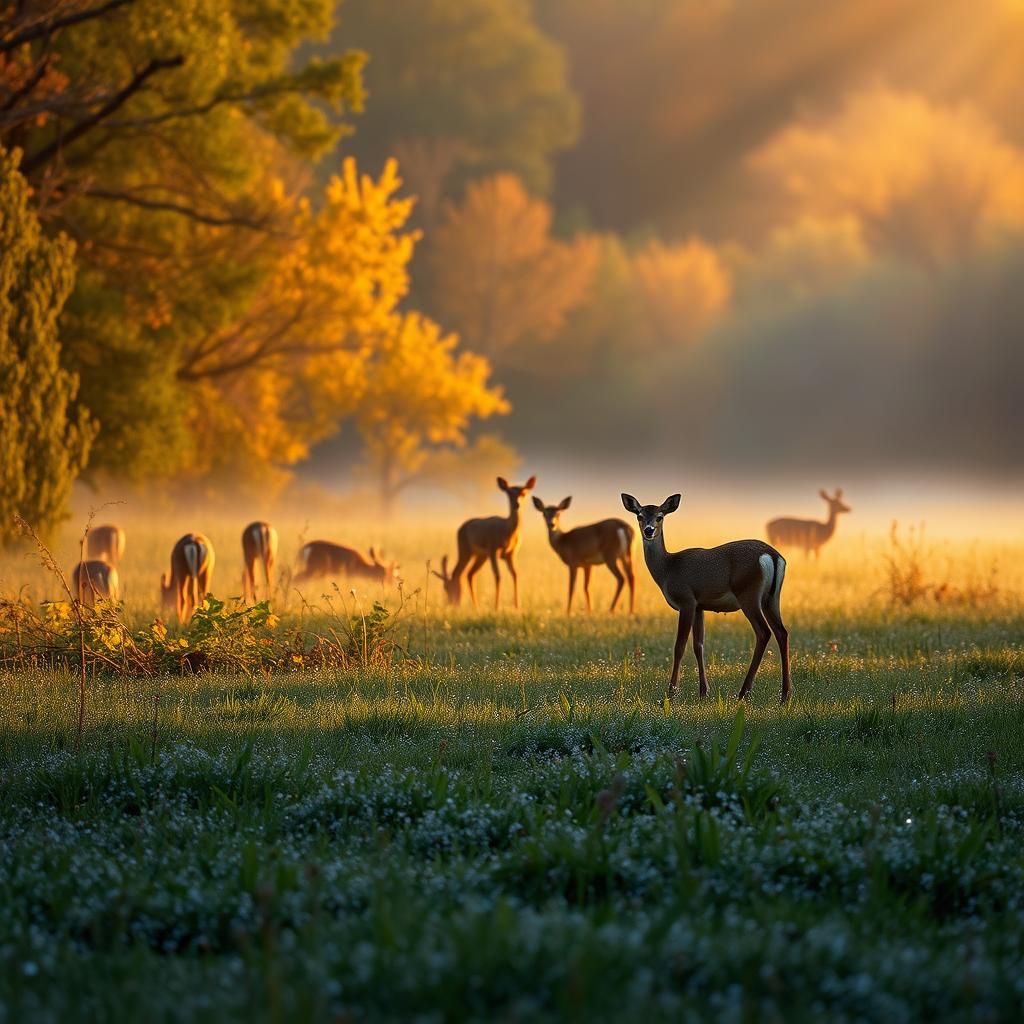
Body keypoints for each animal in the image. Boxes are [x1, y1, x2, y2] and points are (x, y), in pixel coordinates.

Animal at [432, 475, 536, 609]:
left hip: (480, 556)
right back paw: (476, 606)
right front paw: (496, 607)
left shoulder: (511, 553)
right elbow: (498, 576)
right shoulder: (493, 550)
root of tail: (462, 527)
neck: (507, 531)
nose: (452, 602)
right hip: (467, 551)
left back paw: (476, 607)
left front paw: (517, 606)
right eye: (509, 493)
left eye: (523, 493)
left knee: (469, 573)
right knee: (465, 572)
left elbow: (515, 574)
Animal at [621, 493, 791, 703]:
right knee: (782, 632)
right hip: (772, 598)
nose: (649, 530)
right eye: (639, 515)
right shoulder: (699, 606)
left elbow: (679, 647)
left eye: (660, 516)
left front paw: (671, 692)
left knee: (764, 632)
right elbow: (698, 645)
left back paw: (743, 692)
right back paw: (785, 695)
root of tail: (773, 556)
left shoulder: (686, 600)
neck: (667, 569)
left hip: (749, 594)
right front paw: (703, 691)